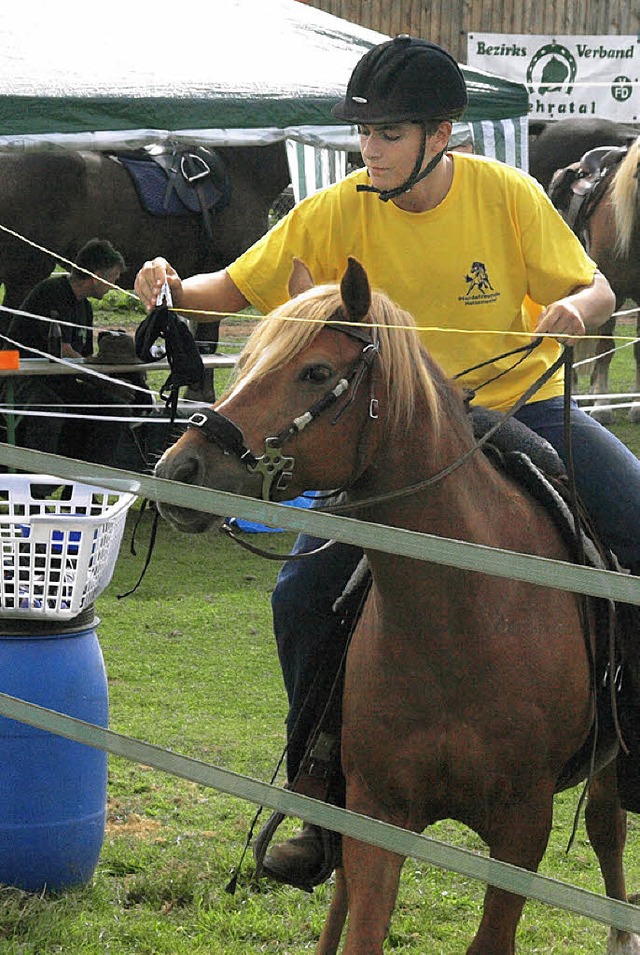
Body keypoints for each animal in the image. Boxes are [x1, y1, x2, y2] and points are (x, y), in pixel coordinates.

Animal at [154, 258, 636, 952]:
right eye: (243, 360)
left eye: (315, 372)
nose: (181, 469)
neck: (462, 621)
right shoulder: (377, 815)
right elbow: (361, 919)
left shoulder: (522, 834)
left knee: (606, 825)